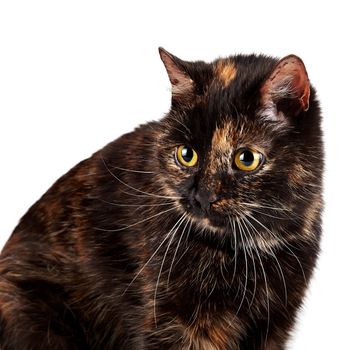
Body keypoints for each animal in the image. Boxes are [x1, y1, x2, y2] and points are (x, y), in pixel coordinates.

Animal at [0, 47, 322, 348]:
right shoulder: (171, 320)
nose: (202, 197)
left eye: (246, 159)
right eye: (186, 154)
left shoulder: (274, 323)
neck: (247, 249)